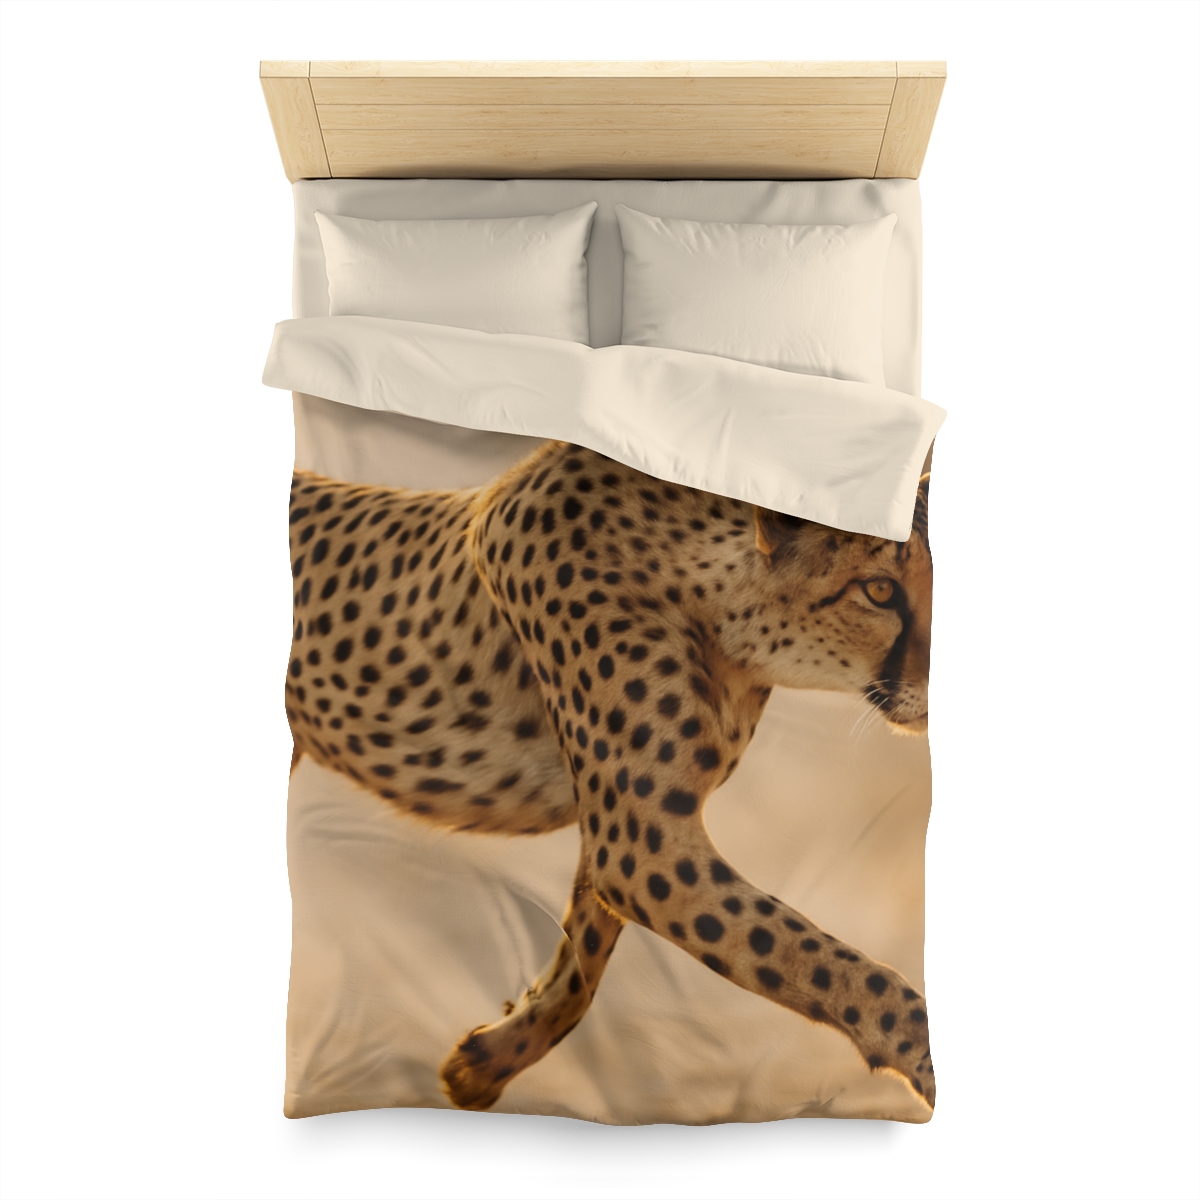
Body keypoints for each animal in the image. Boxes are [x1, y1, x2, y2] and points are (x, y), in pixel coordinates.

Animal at [285, 439, 935, 1114]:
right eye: (880, 590)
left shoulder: (629, 827)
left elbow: (583, 956)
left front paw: (486, 1061)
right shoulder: (641, 846)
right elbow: (819, 959)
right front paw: (926, 1058)